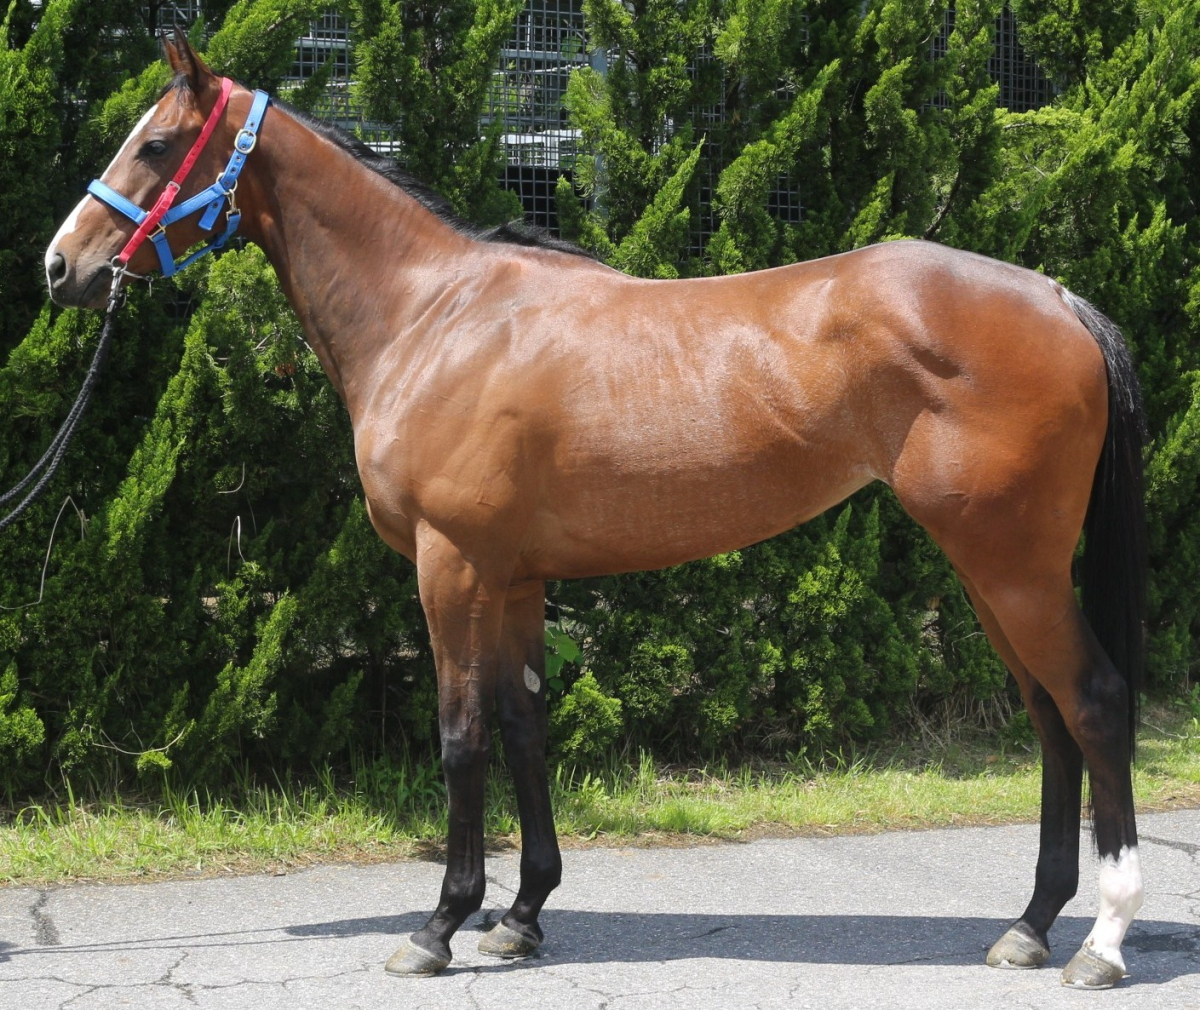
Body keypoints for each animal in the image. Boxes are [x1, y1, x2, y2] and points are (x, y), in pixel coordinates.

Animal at [44, 33, 1147, 990]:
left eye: (154, 144)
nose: (62, 266)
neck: (434, 316)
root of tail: (1059, 297)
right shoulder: (515, 576)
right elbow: (525, 725)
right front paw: (520, 917)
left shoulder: (451, 566)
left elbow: (460, 735)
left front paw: (441, 925)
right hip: (989, 568)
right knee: (1049, 717)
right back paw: (1029, 925)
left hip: (1012, 563)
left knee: (1092, 703)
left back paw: (1103, 940)